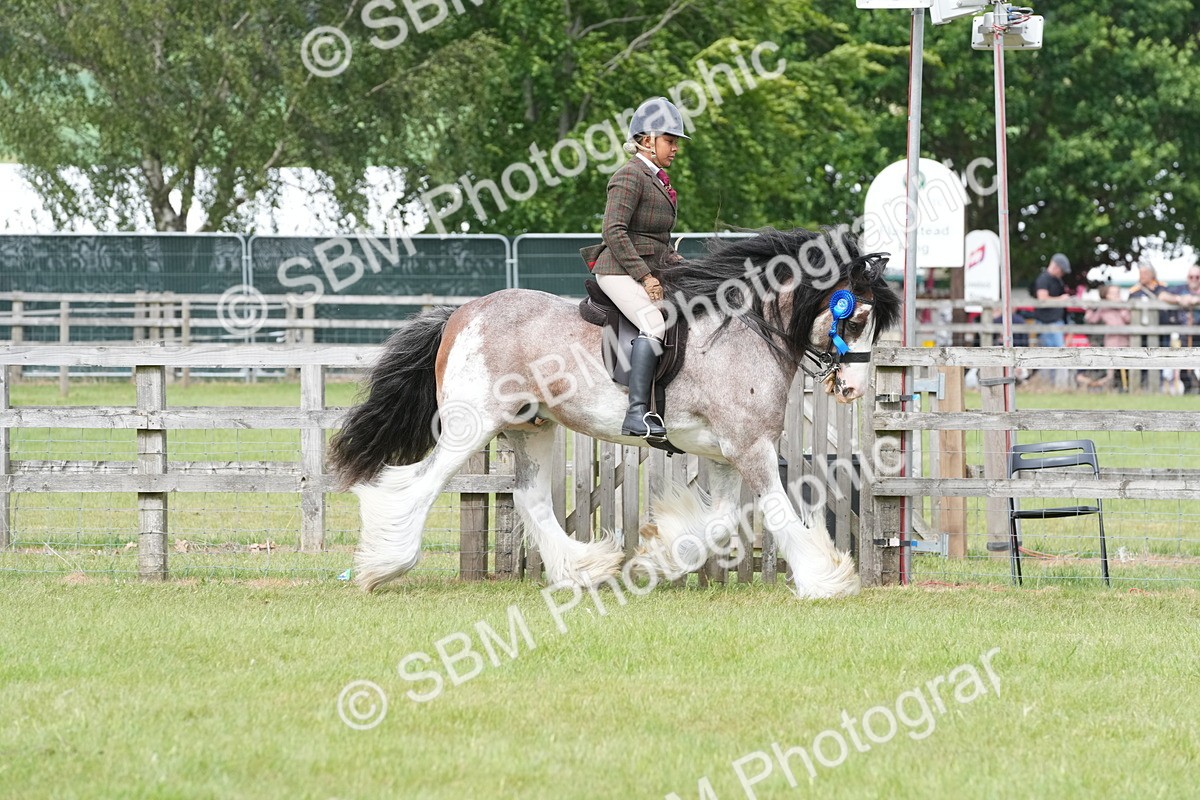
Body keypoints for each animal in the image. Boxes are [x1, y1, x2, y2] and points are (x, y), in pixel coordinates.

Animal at [328, 227, 901, 599]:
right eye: (857, 319)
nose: (852, 388)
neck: (743, 330)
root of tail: (460, 314)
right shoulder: (750, 448)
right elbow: (778, 512)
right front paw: (824, 580)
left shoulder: (725, 454)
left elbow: (716, 524)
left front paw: (659, 556)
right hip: (471, 426)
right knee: (419, 485)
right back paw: (383, 566)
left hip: (530, 427)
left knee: (531, 497)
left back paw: (583, 569)